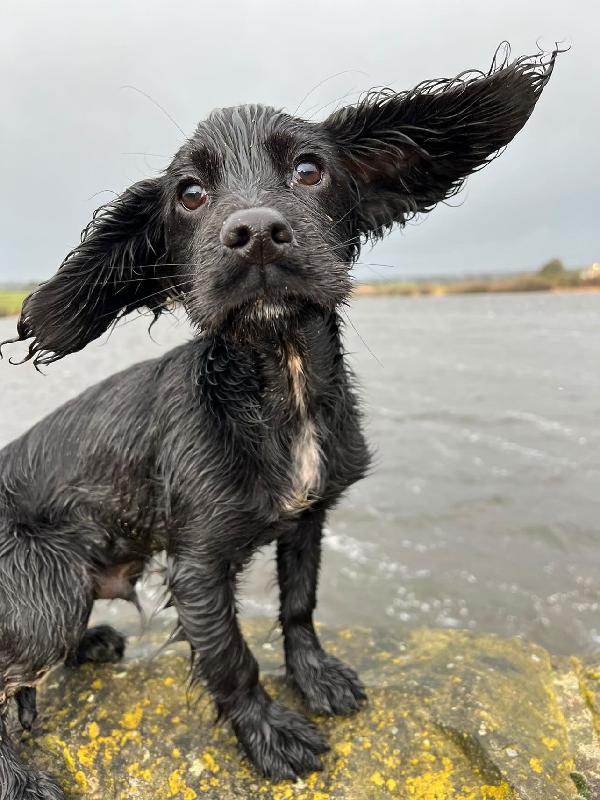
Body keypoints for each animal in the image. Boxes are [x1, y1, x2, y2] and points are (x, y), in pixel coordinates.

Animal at [0, 47, 556, 796]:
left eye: (309, 169)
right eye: (189, 193)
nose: (256, 234)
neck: (278, 384)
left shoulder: (309, 519)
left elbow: (299, 606)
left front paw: (315, 677)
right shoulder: (198, 565)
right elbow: (231, 658)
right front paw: (269, 735)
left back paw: (89, 645)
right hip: (45, 584)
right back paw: (21, 774)